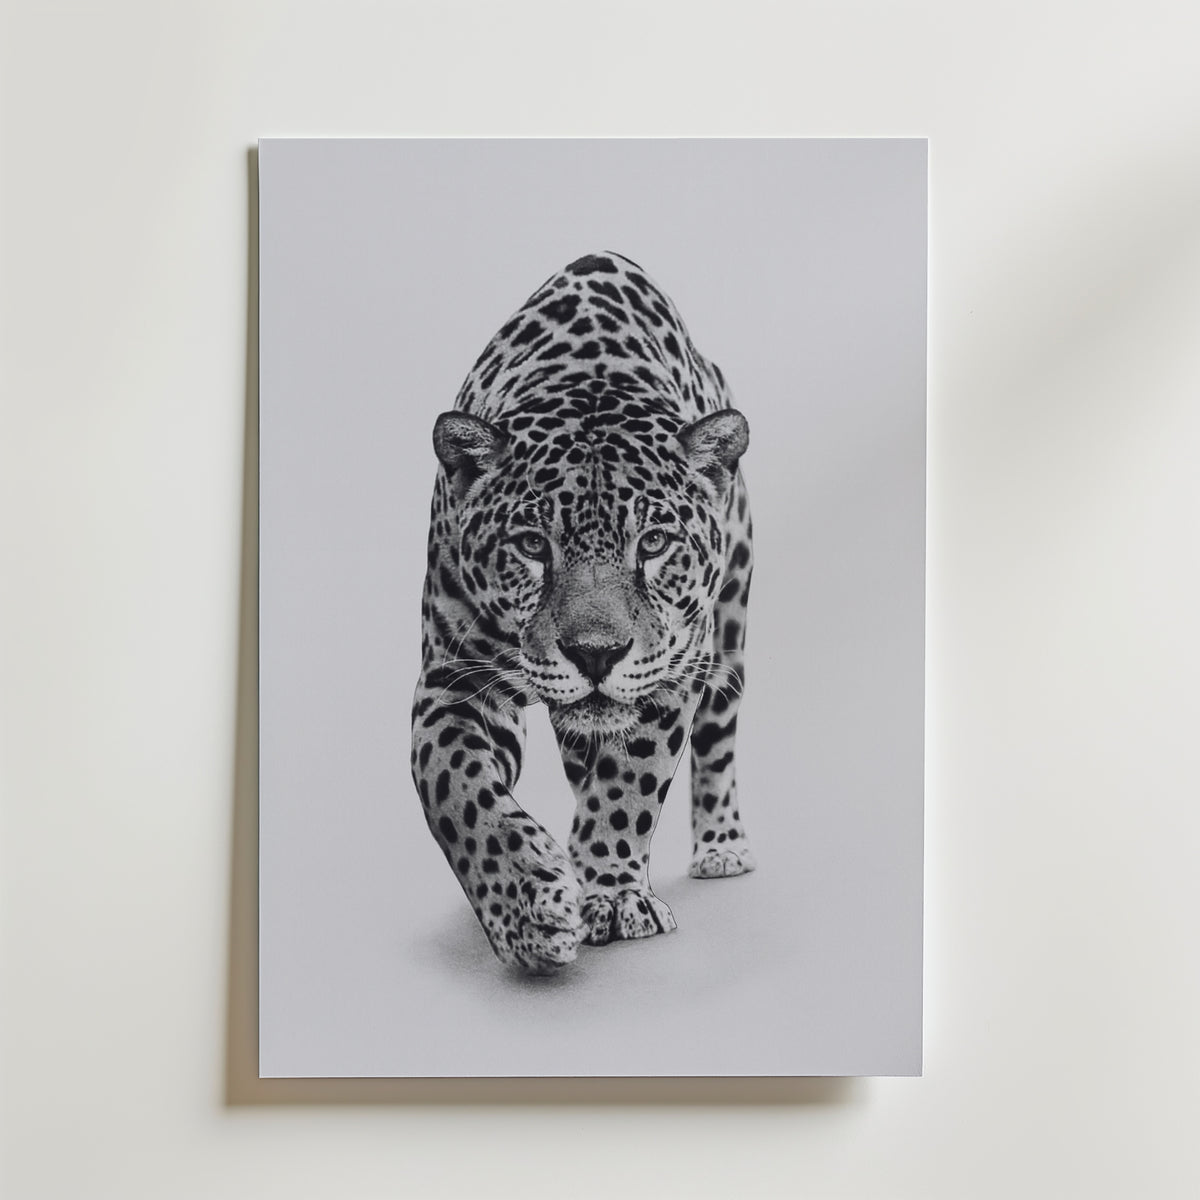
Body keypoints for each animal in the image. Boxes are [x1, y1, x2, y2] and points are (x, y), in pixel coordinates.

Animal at [411, 251, 754, 973]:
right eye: (533, 545)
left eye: (652, 543)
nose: (596, 654)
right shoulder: (453, 679)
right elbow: (458, 789)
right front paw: (526, 907)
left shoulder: (672, 670)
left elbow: (629, 784)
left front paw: (613, 895)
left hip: (731, 627)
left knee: (717, 739)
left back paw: (721, 847)